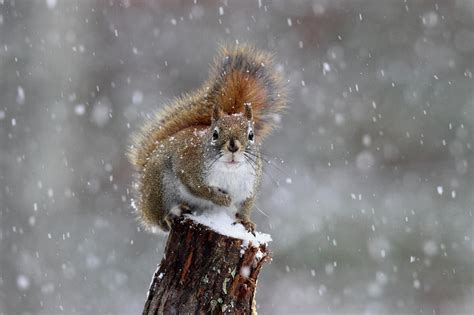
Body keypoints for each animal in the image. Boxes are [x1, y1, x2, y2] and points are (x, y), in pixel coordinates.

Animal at [126, 43, 286, 233]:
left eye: (251, 135)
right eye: (215, 134)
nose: (233, 146)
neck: (229, 170)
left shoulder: (249, 188)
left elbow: (245, 207)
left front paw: (246, 222)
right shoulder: (187, 167)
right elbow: (200, 189)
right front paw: (220, 198)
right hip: (158, 188)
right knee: (159, 220)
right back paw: (169, 217)